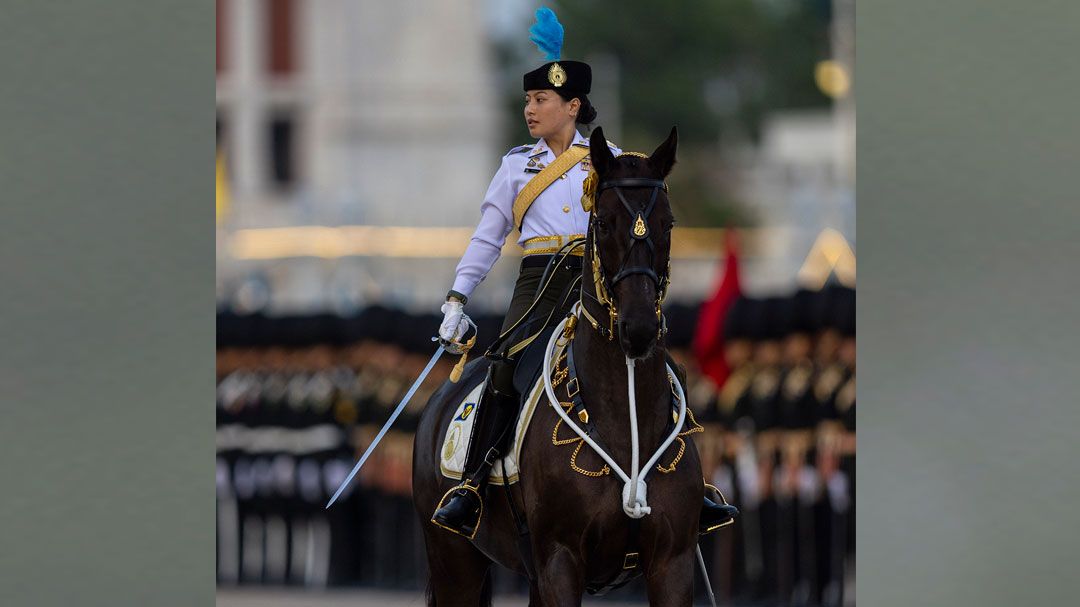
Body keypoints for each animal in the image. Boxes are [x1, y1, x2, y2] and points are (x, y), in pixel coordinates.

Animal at [410, 125, 699, 600]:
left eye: (669, 223)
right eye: (603, 221)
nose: (638, 328)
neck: (624, 416)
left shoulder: (673, 564)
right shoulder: (560, 561)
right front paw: (453, 316)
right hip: (454, 563)